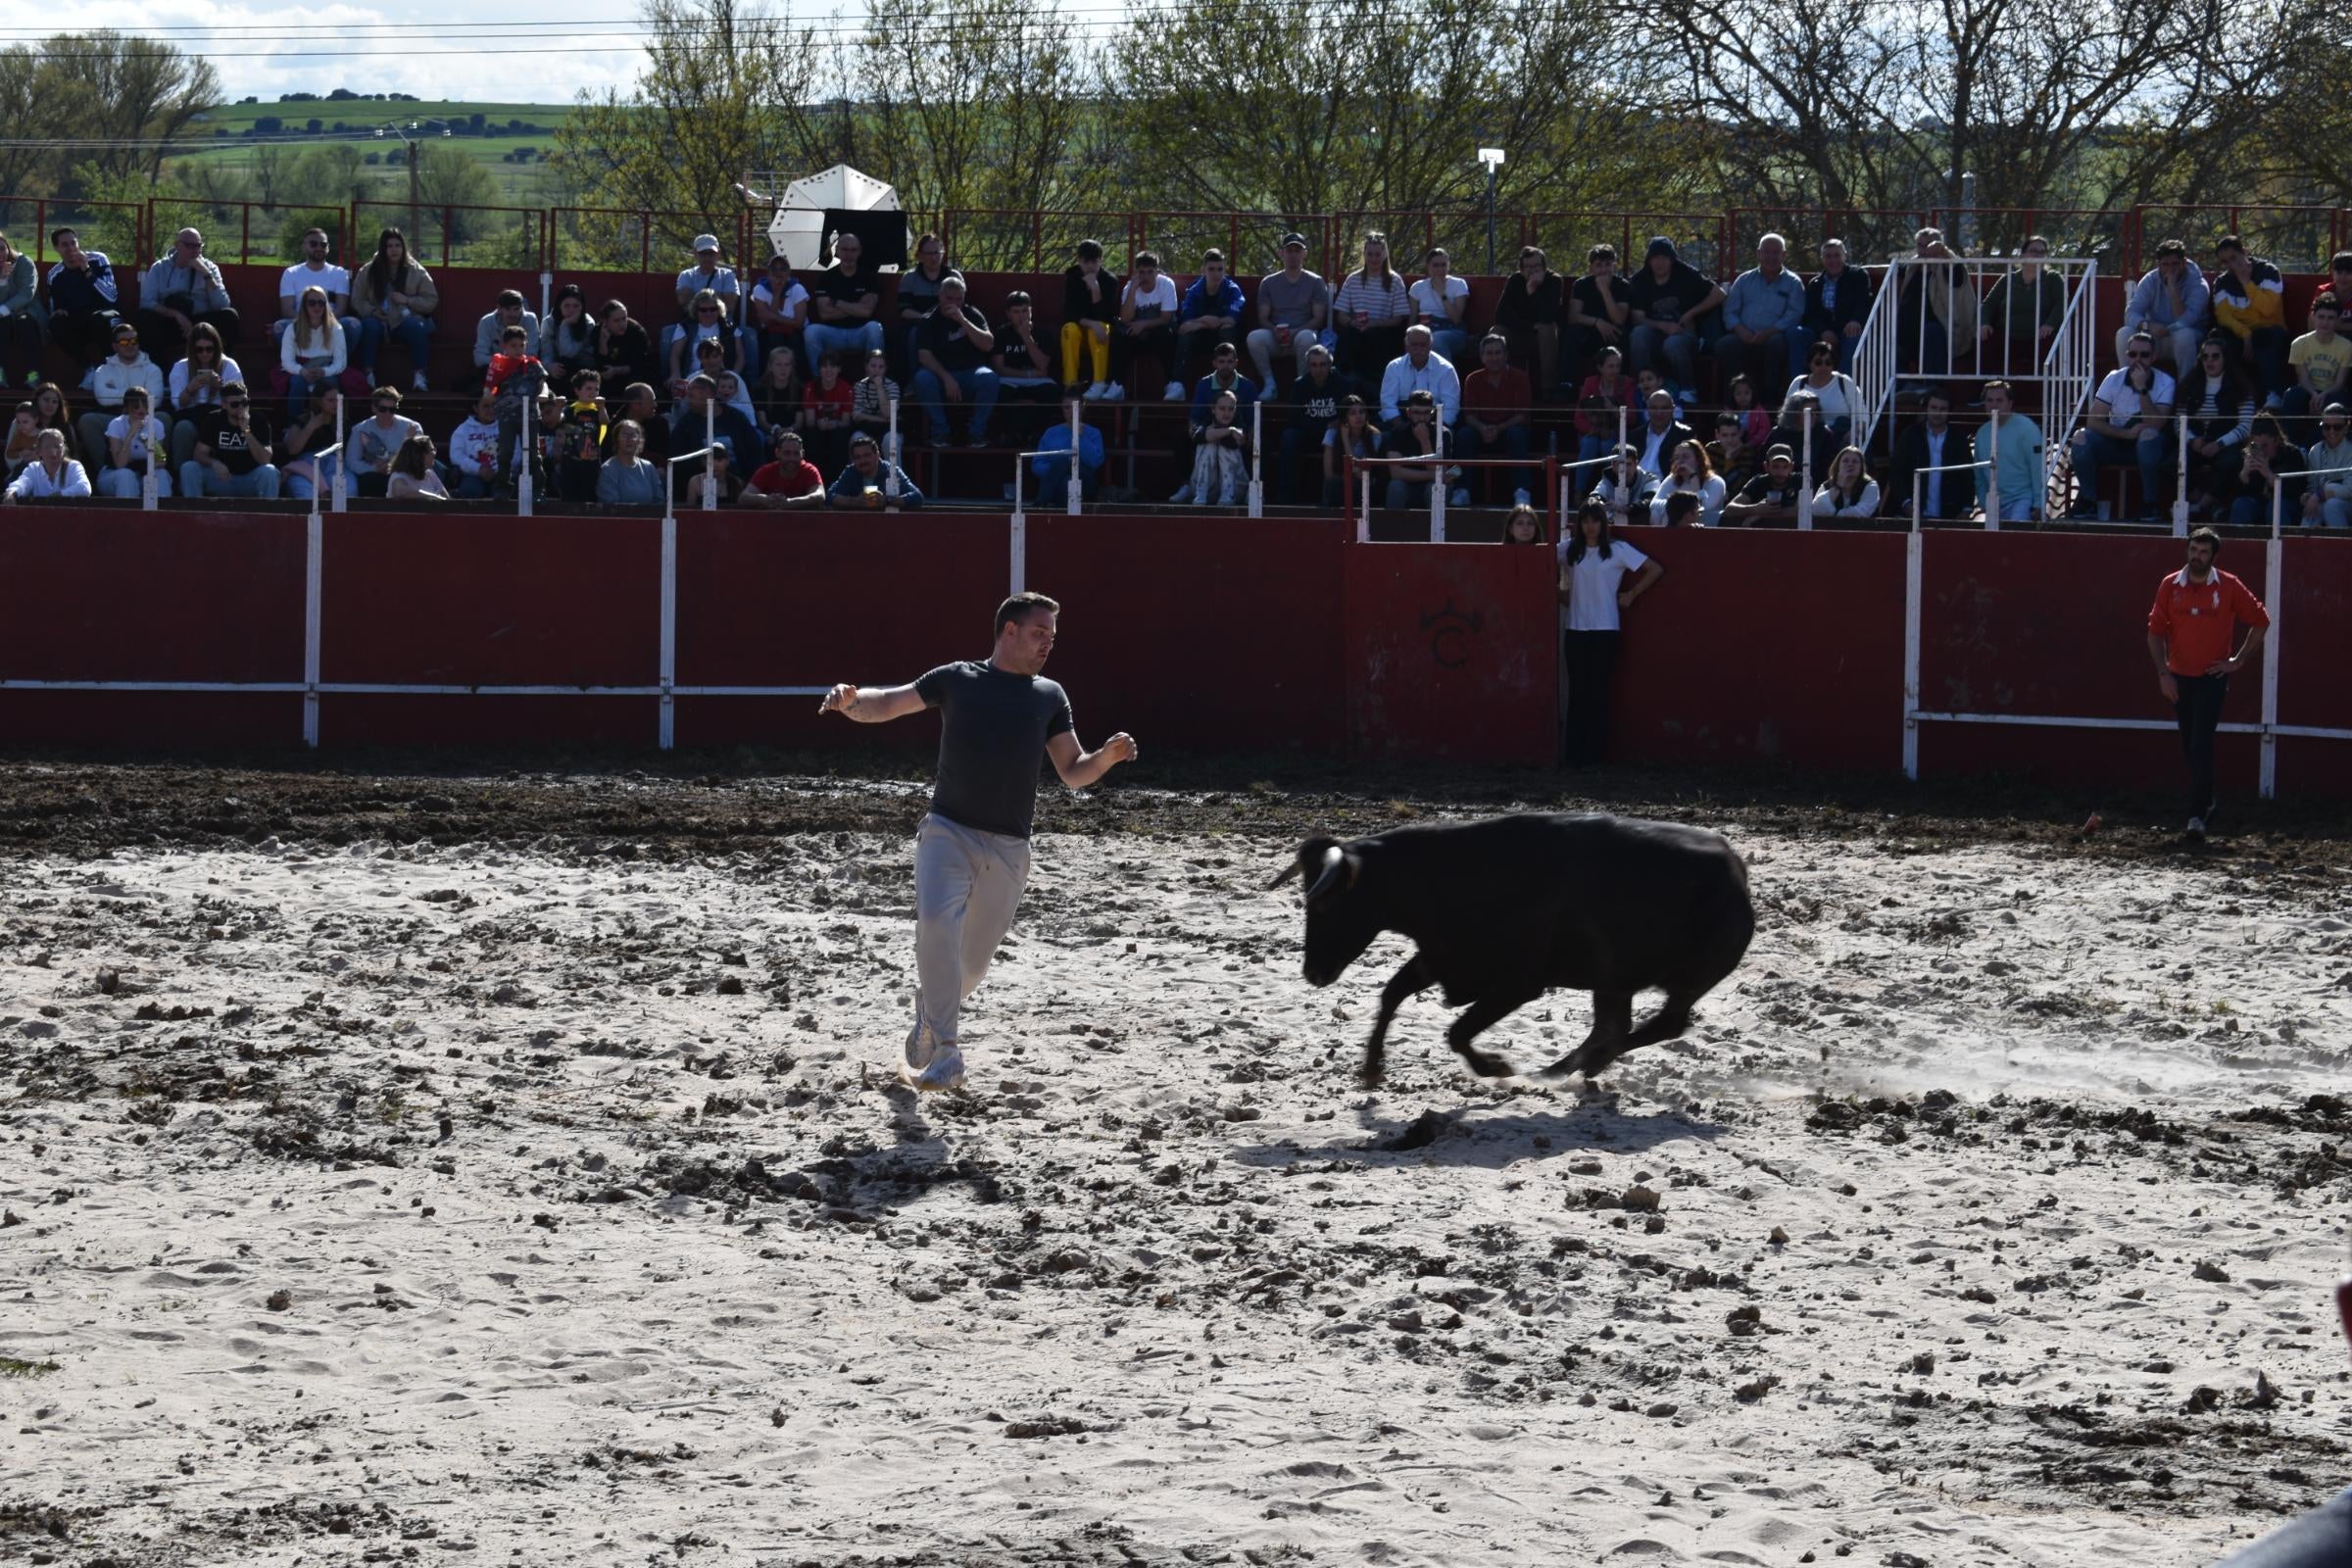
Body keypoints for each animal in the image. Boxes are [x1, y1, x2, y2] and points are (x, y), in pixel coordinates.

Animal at [1279, 817, 1759, 1086]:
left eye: (1326, 904)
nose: (1313, 973)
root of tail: (1735, 869)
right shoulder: (1442, 959)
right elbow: (1392, 994)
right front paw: (1372, 1069)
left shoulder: (1517, 983)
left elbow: (1457, 1032)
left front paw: (1494, 1067)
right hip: (1612, 982)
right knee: (1613, 1026)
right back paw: (1567, 1069)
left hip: (1686, 980)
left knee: (1660, 1025)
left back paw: (1578, 1067)